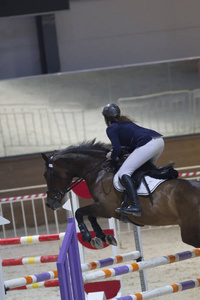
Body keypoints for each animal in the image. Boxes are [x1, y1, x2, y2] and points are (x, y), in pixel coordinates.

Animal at [41, 140, 200, 248]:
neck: (98, 171)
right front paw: (103, 237)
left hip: (189, 234)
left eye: (46, 175)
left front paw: (88, 237)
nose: (50, 203)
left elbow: (79, 212)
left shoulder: (105, 207)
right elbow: (90, 217)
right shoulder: (106, 209)